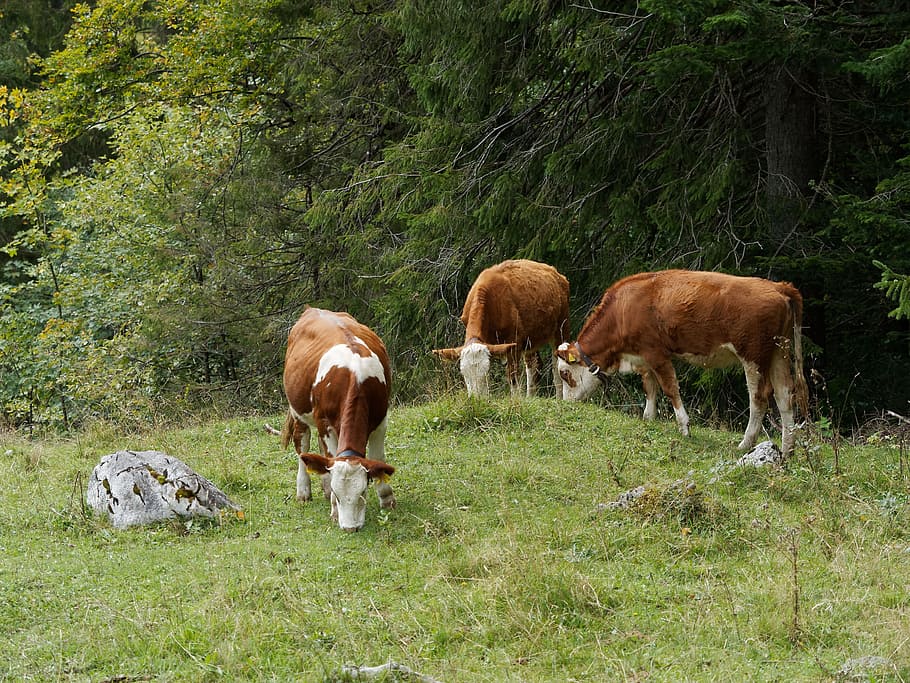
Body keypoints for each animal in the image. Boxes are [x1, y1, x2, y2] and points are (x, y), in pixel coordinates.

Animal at [281, 307, 395, 531]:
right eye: (339, 494)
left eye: (363, 492)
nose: (350, 528)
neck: (356, 378)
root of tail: (312, 309)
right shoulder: (325, 423)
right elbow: (328, 456)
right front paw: (333, 508)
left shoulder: (381, 420)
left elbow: (378, 458)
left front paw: (386, 498)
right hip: (298, 411)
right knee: (303, 446)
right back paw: (304, 491)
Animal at [433, 259, 571, 398]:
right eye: (464, 374)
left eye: (485, 372)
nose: (477, 398)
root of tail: (557, 274)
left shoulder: (514, 343)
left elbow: (513, 378)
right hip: (531, 339)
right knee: (534, 364)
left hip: (561, 327)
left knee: (557, 366)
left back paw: (560, 397)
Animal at [556, 270, 809, 455]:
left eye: (565, 374)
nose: (566, 404)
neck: (622, 310)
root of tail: (778, 286)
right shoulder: (643, 357)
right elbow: (650, 388)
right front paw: (648, 418)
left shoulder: (656, 353)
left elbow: (670, 389)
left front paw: (684, 427)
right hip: (779, 352)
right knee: (785, 395)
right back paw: (787, 449)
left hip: (753, 356)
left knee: (759, 397)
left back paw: (746, 443)